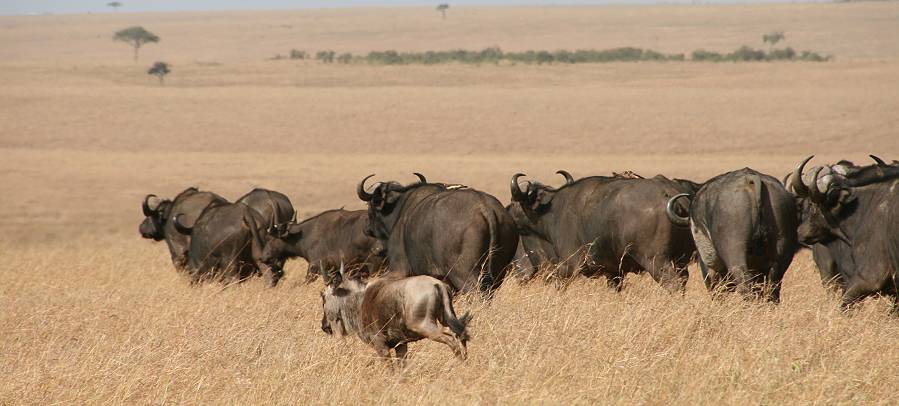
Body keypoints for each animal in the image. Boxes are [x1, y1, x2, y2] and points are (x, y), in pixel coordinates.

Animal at [356, 173, 516, 296]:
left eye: (371, 206)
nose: (366, 228)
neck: (398, 210)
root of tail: (485, 208)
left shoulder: (398, 269)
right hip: (497, 274)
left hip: (464, 274)